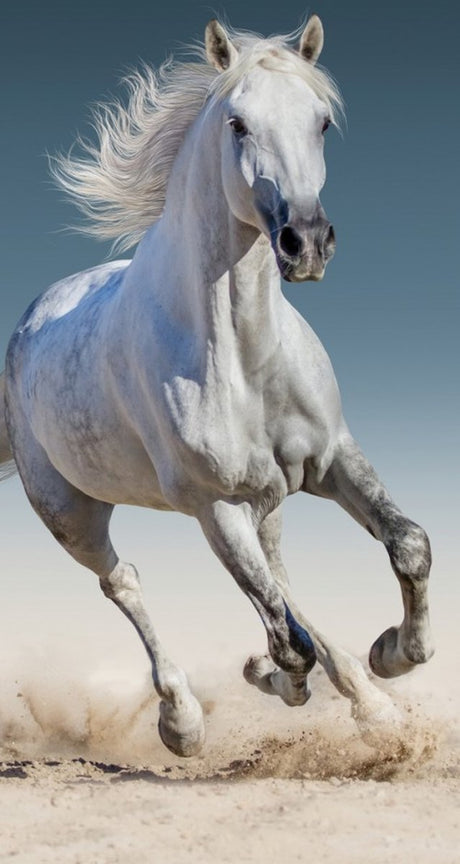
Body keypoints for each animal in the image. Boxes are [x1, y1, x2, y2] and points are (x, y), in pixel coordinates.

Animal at [0, 16, 433, 757]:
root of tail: (31, 321)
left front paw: (394, 655)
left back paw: (370, 702)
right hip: (71, 513)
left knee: (280, 578)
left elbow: (407, 545)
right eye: (238, 123)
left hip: (268, 499)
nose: (305, 242)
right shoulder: (216, 505)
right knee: (125, 583)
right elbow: (288, 638)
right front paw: (278, 677)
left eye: (321, 122)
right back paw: (183, 721)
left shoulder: (331, 458)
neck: (243, 354)